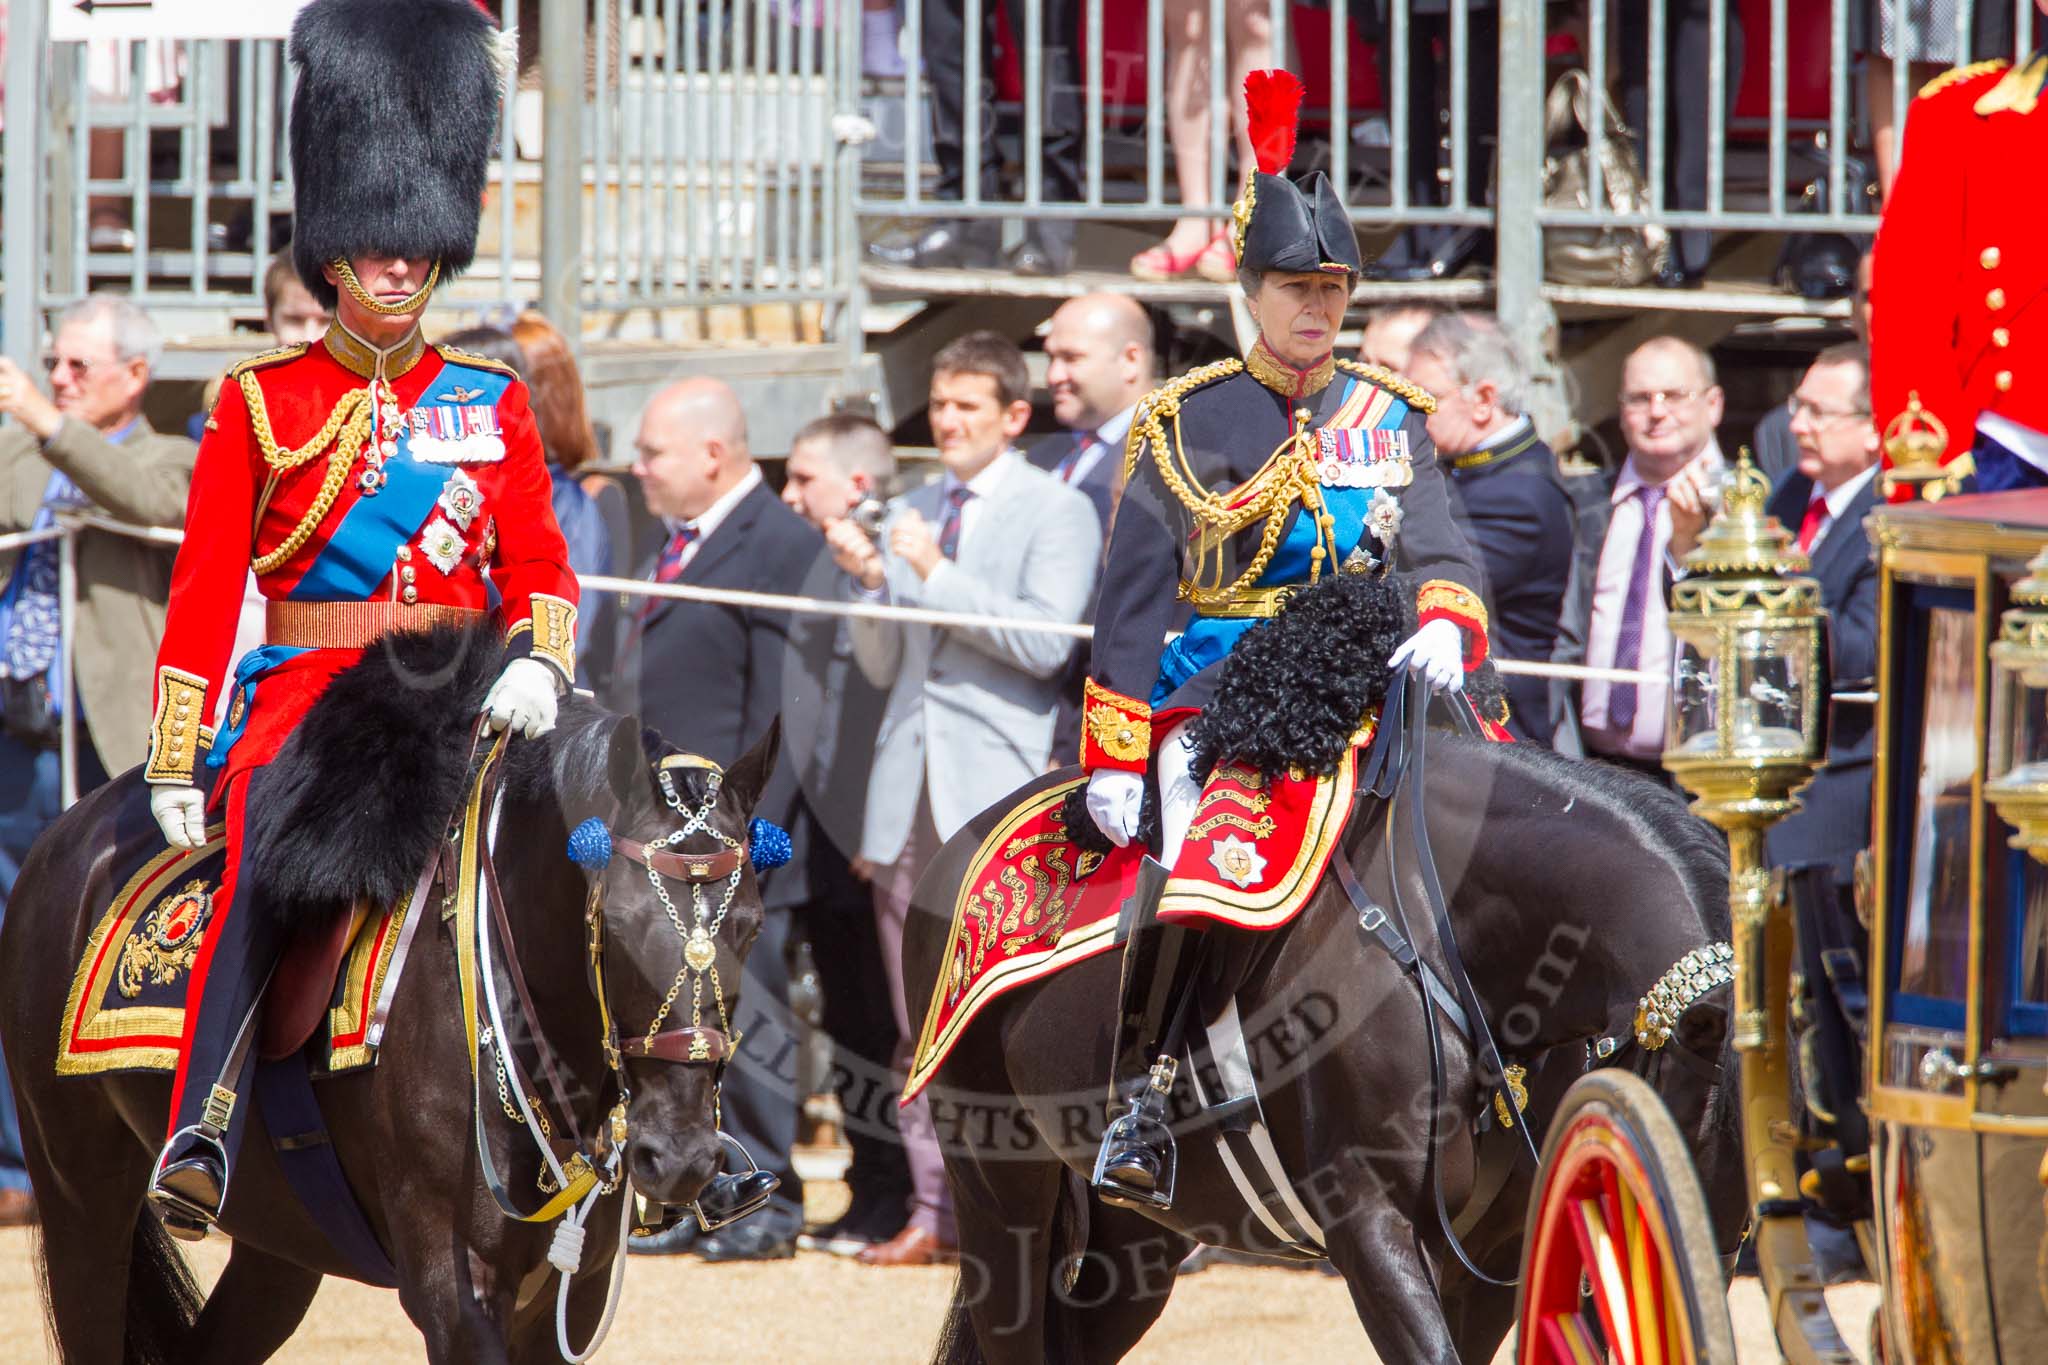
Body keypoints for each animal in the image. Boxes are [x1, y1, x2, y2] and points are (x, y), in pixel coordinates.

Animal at [0, 634, 778, 1365]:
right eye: (616, 922)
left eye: (750, 925)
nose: (679, 1157)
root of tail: (69, 832)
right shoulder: (454, 1293)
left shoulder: (571, 1297)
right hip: (79, 1196)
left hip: (280, 1239)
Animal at [905, 581, 1736, 1358]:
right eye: (1689, 1128)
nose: (1712, 1267)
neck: (1454, 933)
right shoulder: (1368, 1221)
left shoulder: (1492, 1256)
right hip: (1001, 1196)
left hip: (1138, 1237)